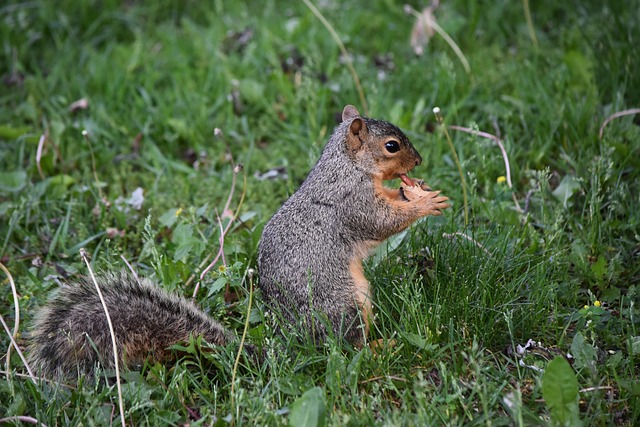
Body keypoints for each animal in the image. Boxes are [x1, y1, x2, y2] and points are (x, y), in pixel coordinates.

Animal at [27, 105, 449, 377]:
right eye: (392, 146)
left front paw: (416, 188)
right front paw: (425, 202)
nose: (419, 161)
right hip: (345, 304)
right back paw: (381, 347)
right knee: (345, 349)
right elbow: (381, 222)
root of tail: (293, 345)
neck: (346, 164)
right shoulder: (352, 201)